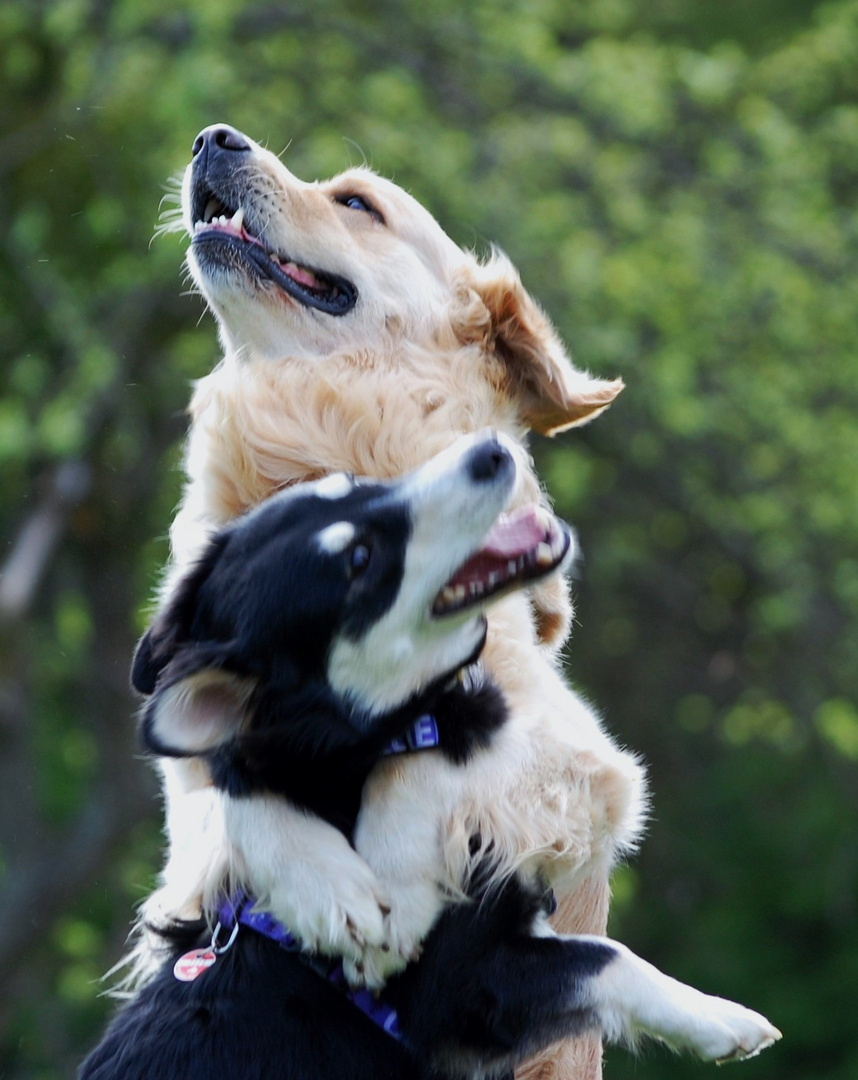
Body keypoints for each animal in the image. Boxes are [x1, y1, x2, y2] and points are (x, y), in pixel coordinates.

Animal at [82, 434, 782, 1080]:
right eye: (360, 559)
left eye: (349, 482)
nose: (489, 451)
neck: (354, 756)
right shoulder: (463, 988)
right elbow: (606, 960)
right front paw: (720, 1018)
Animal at [145, 128, 639, 1080]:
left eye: (356, 204)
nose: (212, 138)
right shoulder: (188, 782)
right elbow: (231, 786)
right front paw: (324, 880)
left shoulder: (579, 766)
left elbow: (424, 760)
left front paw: (385, 878)